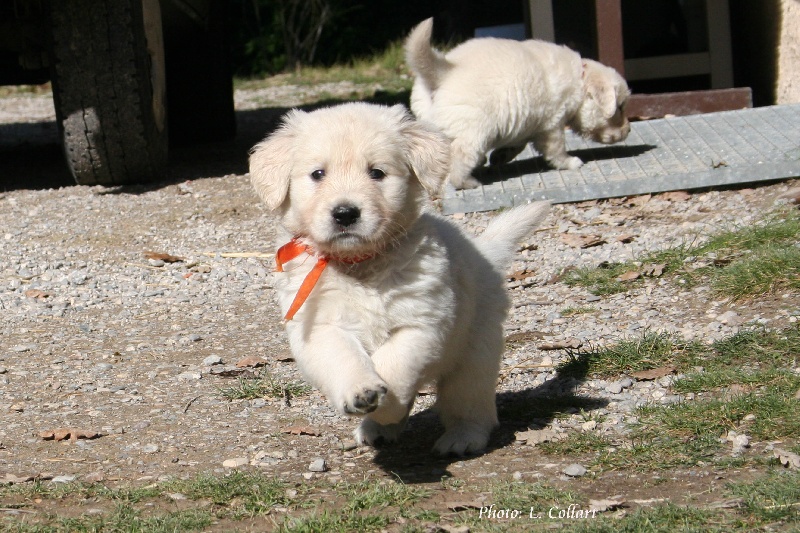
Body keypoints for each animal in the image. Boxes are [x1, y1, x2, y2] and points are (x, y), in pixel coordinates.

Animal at [249, 102, 549, 455]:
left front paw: (387, 406)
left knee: (470, 401)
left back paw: (462, 437)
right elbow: (342, 357)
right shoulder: (318, 327)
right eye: (318, 174)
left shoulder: (422, 323)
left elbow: (395, 365)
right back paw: (377, 429)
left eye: (377, 172)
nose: (345, 213)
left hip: (476, 348)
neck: (361, 265)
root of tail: (483, 254)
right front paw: (363, 394)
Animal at [405, 17, 631, 189]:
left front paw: (501, 156)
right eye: (620, 107)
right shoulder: (553, 123)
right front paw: (570, 162)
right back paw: (468, 182)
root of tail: (444, 71)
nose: (628, 130)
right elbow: (556, 148)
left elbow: (518, 143)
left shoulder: (529, 121)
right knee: (459, 156)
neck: (580, 78)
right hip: (474, 129)